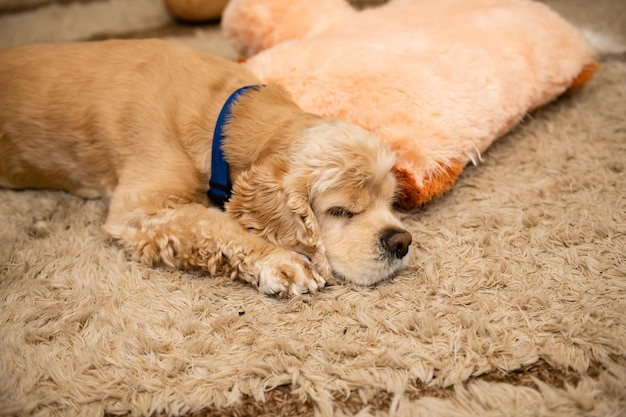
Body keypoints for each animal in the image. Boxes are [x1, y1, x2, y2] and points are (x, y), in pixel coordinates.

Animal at [0, 39, 410, 296]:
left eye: (391, 202)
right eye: (341, 211)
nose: (402, 242)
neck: (226, 115)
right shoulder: (137, 211)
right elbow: (212, 223)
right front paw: (280, 259)